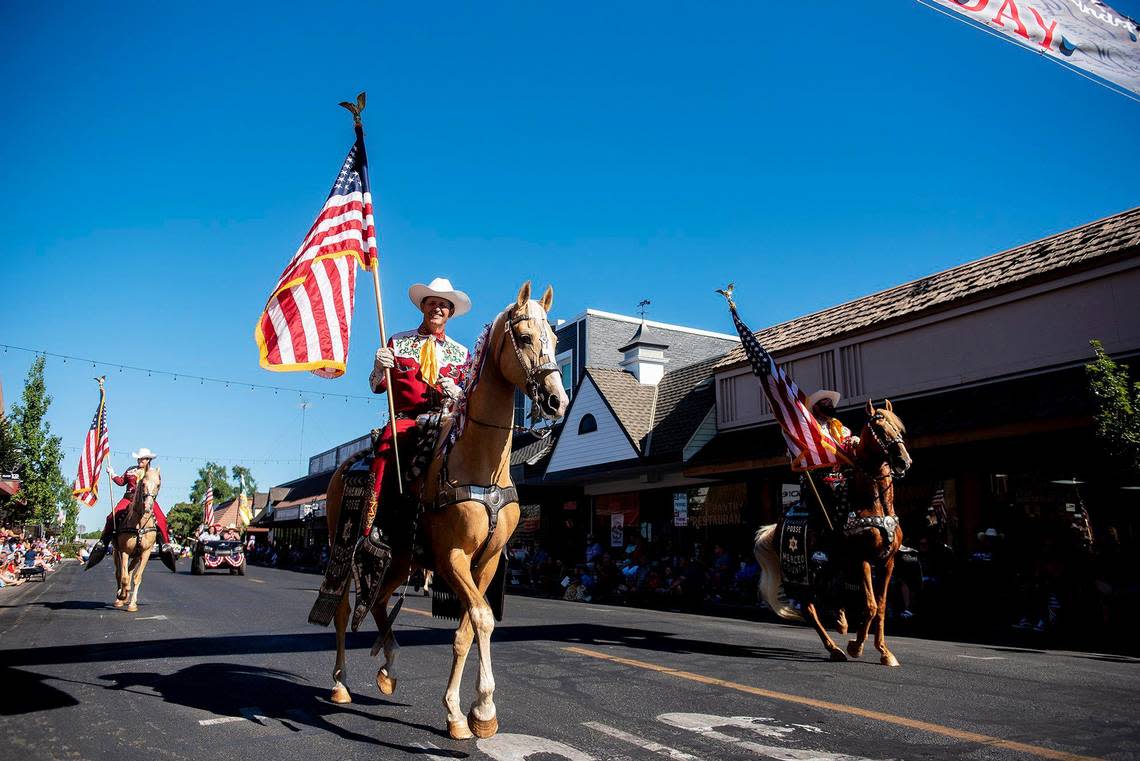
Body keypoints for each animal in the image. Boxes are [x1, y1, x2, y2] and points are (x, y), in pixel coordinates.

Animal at [111, 464, 163, 610]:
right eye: (143, 483)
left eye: (158, 484)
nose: (148, 506)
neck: (139, 523)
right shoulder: (124, 551)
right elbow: (123, 577)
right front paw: (122, 596)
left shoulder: (145, 553)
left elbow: (137, 577)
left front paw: (132, 603)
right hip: (116, 552)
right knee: (119, 573)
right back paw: (120, 597)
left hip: (136, 556)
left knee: (129, 571)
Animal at [323, 279, 567, 738]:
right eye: (526, 337)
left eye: (557, 340)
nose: (556, 401)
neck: (482, 466)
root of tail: (345, 466)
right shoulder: (452, 557)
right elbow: (483, 619)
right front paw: (479, 710)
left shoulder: (486, 561)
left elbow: (469, 628)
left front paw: (465, 712)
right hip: (340, 546)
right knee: (345, 609)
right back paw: (341, 684)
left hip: (401, 557)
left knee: (380, 602)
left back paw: (389, 668)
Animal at [752, 398, 912, 665]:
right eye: (880, 430)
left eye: (899, 429)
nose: (903, 461)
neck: (873, 504)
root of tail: (778, 525)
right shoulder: (861, 560)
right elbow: (869, 605)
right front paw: (856, 646)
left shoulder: (887, 562)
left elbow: (880, 606)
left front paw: (884, 651)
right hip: (802, 572)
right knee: (809, 607)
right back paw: (834, 648)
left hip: (830, 566)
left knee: (829, 596)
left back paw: (841, 623)